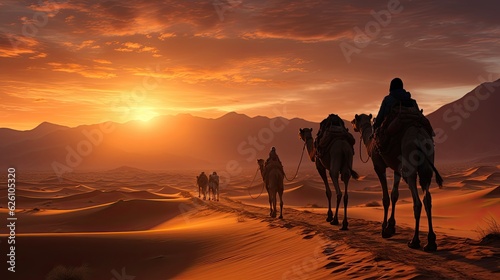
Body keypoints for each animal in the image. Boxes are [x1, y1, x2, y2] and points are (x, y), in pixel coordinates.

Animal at [352, 113, 442, 252]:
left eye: (355, 120)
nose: (352, 123)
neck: (370, 142)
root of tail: (419, 135)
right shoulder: (396, 168)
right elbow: (395, 195)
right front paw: (391, 227)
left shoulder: (379, 166)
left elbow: (386, 198)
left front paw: (384, 229)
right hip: (426, 166)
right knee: (427, 199)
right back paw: (430, 242)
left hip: (410, 162)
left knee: (417, 201)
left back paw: (414, 241)